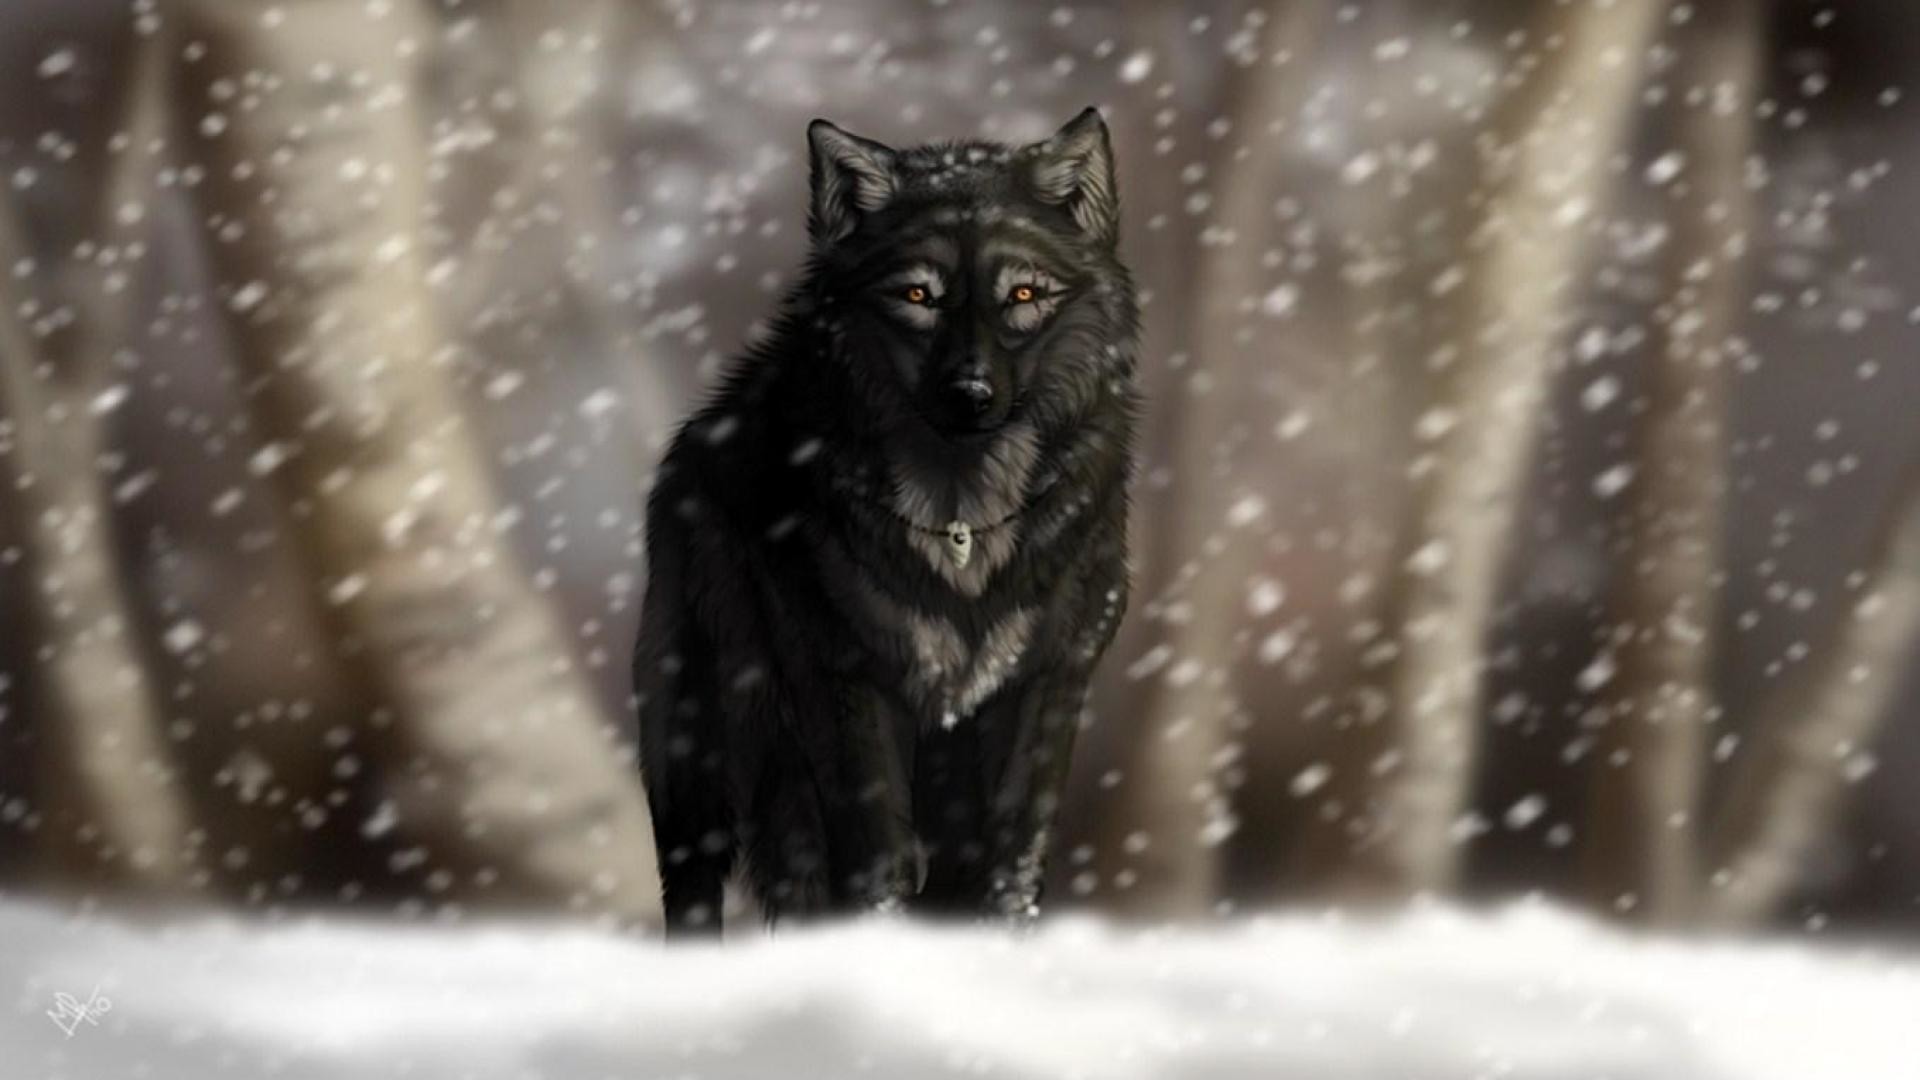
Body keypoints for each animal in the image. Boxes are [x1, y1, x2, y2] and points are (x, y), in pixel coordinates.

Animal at [633, 107, 1138, 936]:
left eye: (1022, 293)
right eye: (918, 295)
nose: (971, 392)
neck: (963, 524)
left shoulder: (1047, 680)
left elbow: (1010, 861)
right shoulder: (846, 681)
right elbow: (878, 861)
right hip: (698, 751)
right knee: (698, 883)